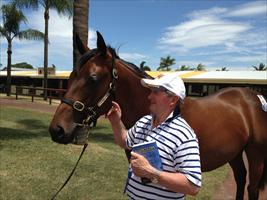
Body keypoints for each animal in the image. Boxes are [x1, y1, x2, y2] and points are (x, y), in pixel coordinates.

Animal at [49, 32, 267, 199]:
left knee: (251, 187)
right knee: (240, 178)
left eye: (93, 79)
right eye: (71, 77)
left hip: (255, 153)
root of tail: (252, 96)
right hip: (235, 153)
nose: (57, 130)